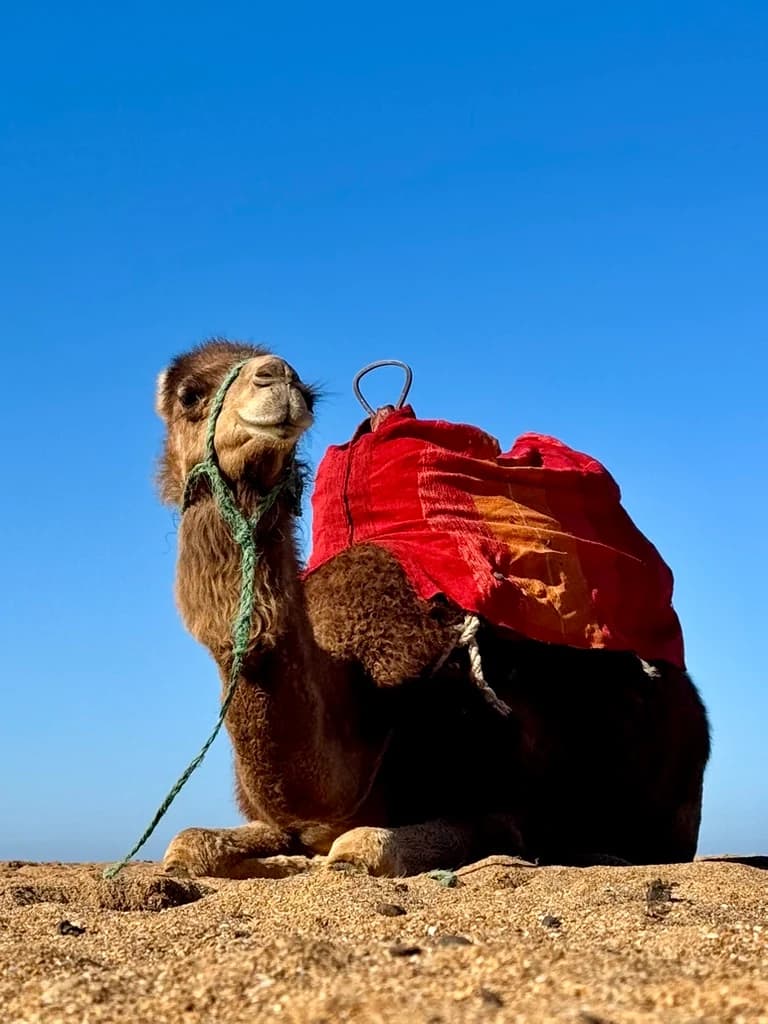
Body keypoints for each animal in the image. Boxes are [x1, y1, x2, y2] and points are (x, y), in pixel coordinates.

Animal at [155, 338, 710, 878]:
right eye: (189, 395)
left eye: (308, 393)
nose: (277, 376)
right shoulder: (280, 816)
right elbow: (185, 844)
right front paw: (281, 860)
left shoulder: (504, 809)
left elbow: (363, 846)